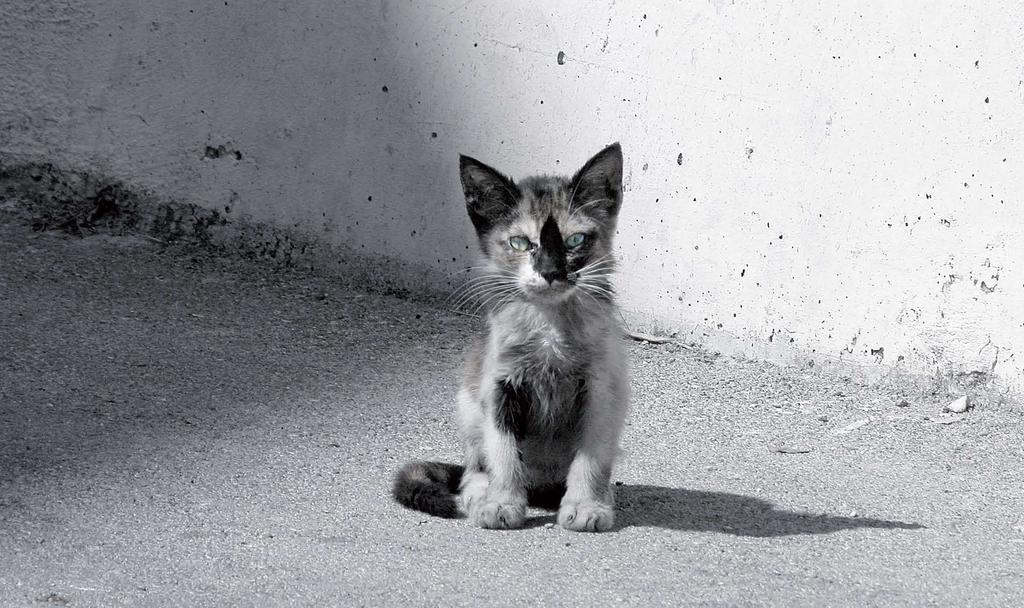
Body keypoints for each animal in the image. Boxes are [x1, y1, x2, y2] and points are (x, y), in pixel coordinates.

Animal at [393, 142, 626, 532]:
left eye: (575, 240)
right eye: (520, 243)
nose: (550, 271)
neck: (549, 327)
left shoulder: (601, 389)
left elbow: (591, 458)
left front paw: (586, 506)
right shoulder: (500, 385)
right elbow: (503, 452)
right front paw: (502, 502)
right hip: (468, 405)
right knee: (474, 468)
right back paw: (479, 493)